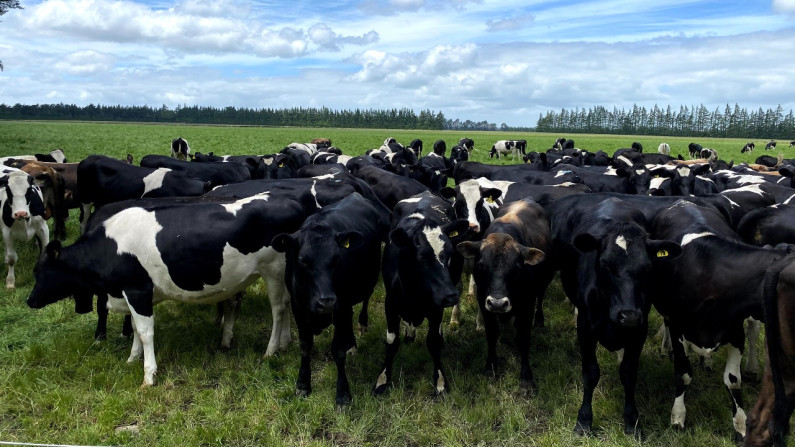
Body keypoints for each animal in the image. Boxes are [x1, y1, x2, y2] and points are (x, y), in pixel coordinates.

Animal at [26, 192, 312, 387]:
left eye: (38, 272)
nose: (29, 301)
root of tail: (290, 201)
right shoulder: (134, 296)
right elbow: (135, 330)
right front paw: (132, 358)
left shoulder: (137, 290)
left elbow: (145, 332)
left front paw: (148, 375)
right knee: (287, 306)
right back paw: (285, 343)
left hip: (273, 270)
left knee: (278, 310)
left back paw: (271, 350)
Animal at [272, 193, 389, 408]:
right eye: (302, 260)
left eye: (336, 259)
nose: (326, 301)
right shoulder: (298, 307)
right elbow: (305, 345)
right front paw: (303, 384)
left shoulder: (340, 306)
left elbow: (338, 351)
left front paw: (343, 394)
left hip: (369, 279)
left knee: (364, 303)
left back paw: (361, 327)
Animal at [373, 192, 471, 396]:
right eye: (422, 256)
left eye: (450, 252)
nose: (450, 295)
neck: (413, 294)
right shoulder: (390, 305)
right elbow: (391, 343)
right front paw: (383, 379)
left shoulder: (436, 308)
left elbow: (433, 342)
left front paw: (440, 381)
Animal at [456, 198, 552, 393]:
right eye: (481, 264)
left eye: (517, 266)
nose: (498, 303)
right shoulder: (483, 301)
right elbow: (492, 333)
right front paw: (490, 368)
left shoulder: (528, 302)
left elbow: (524, 338)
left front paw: (526, 379)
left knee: (541, 297)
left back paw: (539, 321)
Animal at [550, 196, 682, 437]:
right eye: (605, 263)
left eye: (647, 267)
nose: (628, 315)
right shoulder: (586, 328)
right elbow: (590, 373)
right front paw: (584, 421)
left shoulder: (639, 329)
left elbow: (629, 374)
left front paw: (632, 421)